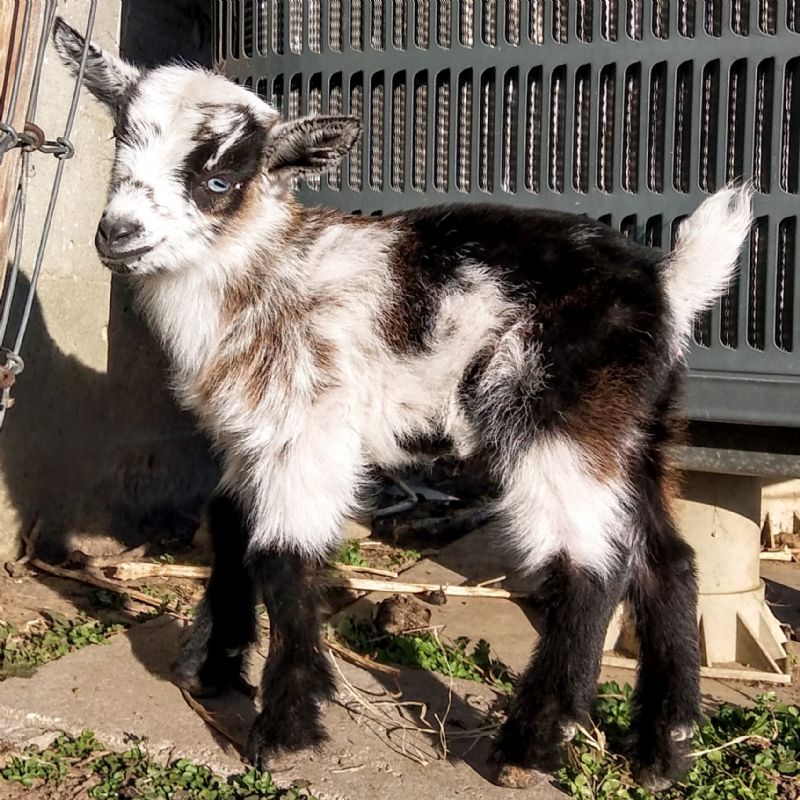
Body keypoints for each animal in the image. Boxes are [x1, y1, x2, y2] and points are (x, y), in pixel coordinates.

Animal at [54, 17, 752, 790]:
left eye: (218, 180)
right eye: (119, 150)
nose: (117, 233)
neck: (261, 272)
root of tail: (666, 286)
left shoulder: (308, 427)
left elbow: (281, 556)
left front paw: (286, 728)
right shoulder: (248, 433)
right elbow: (229, 525)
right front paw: (210, 666)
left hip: (555, 419)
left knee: (590, 565)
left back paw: (529, 746)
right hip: (632, 428)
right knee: (667, 559)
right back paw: (664, 747)